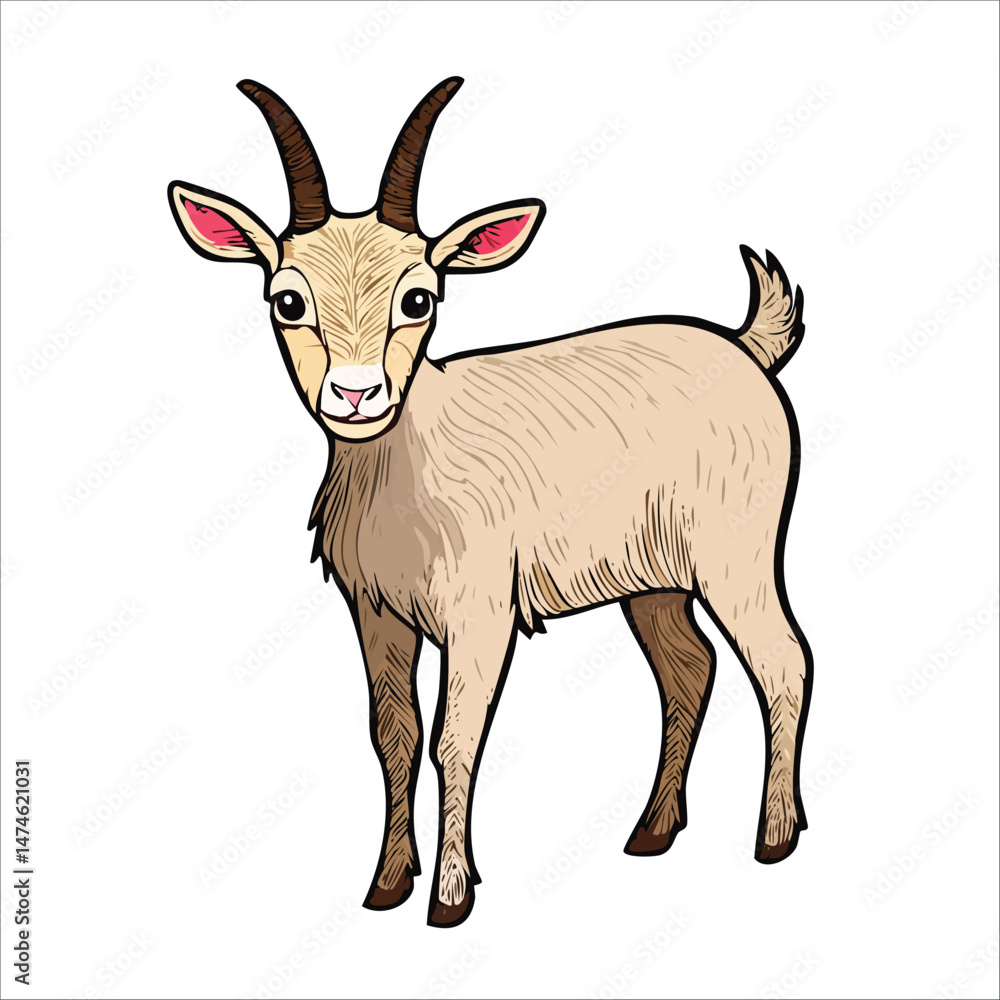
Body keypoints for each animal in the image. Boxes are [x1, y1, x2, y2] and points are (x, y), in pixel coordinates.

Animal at [168, 78, 813, 927]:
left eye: (419, 298)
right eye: (286, 300)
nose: (356, 393)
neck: (405, 464)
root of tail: (747, 347)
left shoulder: (480, 613)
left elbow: (455, 739)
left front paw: (449, 895)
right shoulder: (377, 612)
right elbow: (394, 735)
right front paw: (385, 885)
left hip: (736, 554)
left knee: (782, 659)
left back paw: (774, 836)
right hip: (654, 579)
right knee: (689, 667)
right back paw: (651, 830)